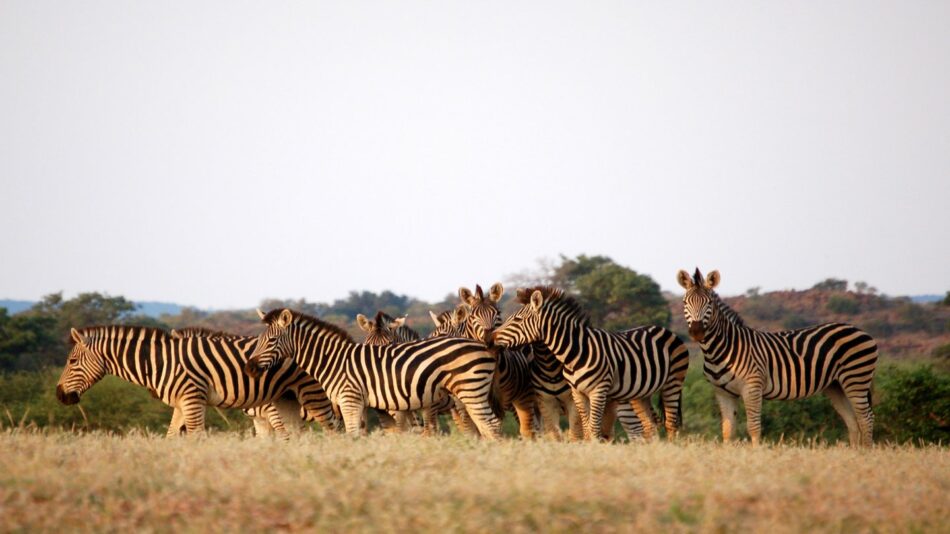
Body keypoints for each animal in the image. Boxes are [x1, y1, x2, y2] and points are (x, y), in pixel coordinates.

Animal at [245, 310, 506, 440]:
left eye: (271, 340)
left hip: (470, 391)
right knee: (484, 426)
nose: (249, 368)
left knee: (490, 425)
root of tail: (483, 346)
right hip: (466, 395)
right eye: (259, 340)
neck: (334, 360)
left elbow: (353, 436)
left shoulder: (350, 401)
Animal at [490, 288, 692, 444]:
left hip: (673, 382)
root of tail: (664, 329)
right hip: (641, 393)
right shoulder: (577, 393)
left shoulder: (598, 391)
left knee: (670, 423)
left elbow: (593, 428)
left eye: (517, 320)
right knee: (650, 425)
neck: (574, 353)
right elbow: (586, 429)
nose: (490, 338)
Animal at [680, 268, 880, 448]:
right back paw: (853, 454)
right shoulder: (723, 393)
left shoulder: (752, 387)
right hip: (836, 385)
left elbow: (753, 428)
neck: (720, 350)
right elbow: (728, 430)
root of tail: (860, 330)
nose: (697, 332)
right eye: (685, 302)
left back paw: (865, 454)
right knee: (852, 420)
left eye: (709, 303)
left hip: (855, 378)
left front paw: (756, 456)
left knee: (866, 417)